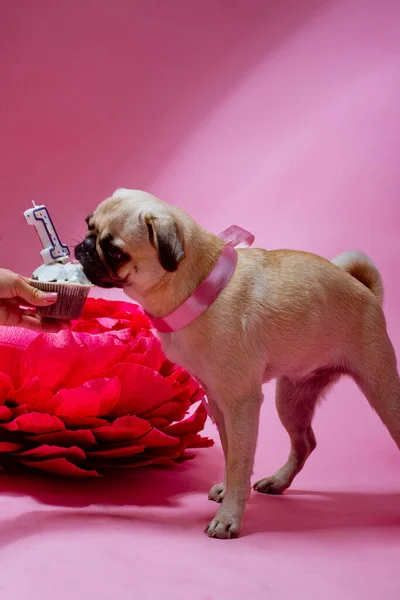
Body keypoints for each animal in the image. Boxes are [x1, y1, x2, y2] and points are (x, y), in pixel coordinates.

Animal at [75, 188, 400, 540]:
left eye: (114, 252)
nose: (83, 247)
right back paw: (278, 481)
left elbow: (240, 460)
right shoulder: (219, 403)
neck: (199, 286)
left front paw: (228, 516)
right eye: (88, 225)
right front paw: (228, 489)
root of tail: (368, 294)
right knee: (305, 442)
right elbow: (231, 455)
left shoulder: (241, 403)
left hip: (382, 390)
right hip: (291, 399)